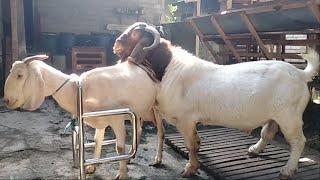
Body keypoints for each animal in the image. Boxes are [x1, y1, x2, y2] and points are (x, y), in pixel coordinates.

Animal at [3, 55, 165, 179]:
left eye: (20, 75)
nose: (6, 100)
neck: (77, 89)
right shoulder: (100, 120)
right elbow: (97, 141)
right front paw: (91, 167)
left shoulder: (116, 119)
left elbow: (119, 148)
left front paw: (122, 175)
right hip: (139, 112)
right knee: (139, 131)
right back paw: (132, 157)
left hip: (157, 108)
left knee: (160, 133)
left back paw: (157, 160)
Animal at [114, 22, 318, 179]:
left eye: (134, 34)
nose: (115, 45)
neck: (168, 68)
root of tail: (300, 74)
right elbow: (196, 142)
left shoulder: (186, 120)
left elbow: (191, 145)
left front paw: (189, 169)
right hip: (275, 114)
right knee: (268, 132)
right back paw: (254, 149)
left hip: (289, 116)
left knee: (298, 141)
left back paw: (287, 170)